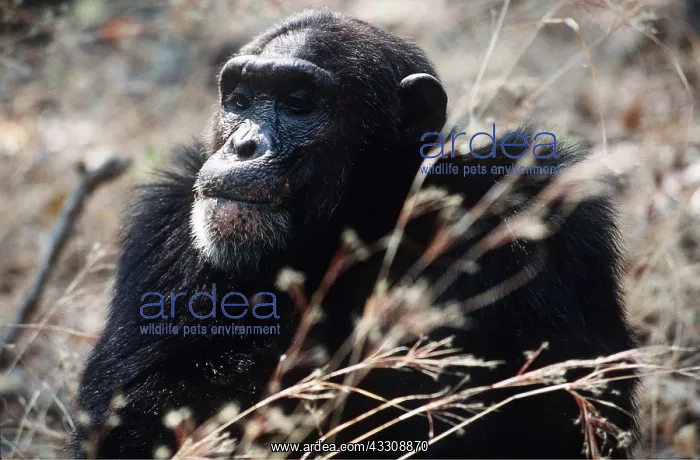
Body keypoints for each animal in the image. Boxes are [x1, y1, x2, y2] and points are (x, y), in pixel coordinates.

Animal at [71, 10, 639, 459]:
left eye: (298, 102)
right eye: (240, 98)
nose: (243, 145)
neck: (359, 226)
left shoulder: (544, 211)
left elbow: (565, 412)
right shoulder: (163, 228)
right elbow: (132, 420)